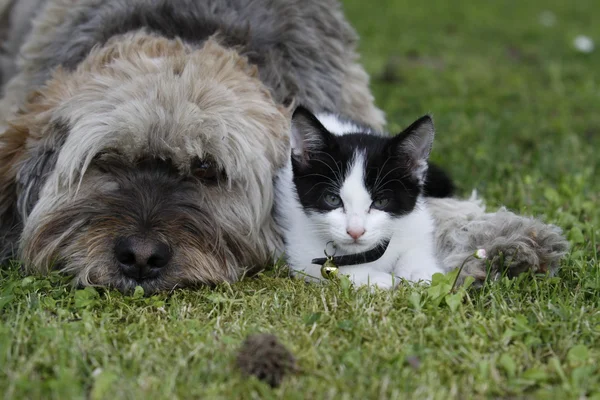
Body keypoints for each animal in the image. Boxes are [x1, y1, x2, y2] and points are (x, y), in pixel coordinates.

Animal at [274, 106, 450, 288]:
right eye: (332, 199)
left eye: (381, 202)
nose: (355, 232)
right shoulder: (301, 239)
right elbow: (320, 265)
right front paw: (376, 279)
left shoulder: (417, 220)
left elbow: (418, 243)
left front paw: (419, 271)